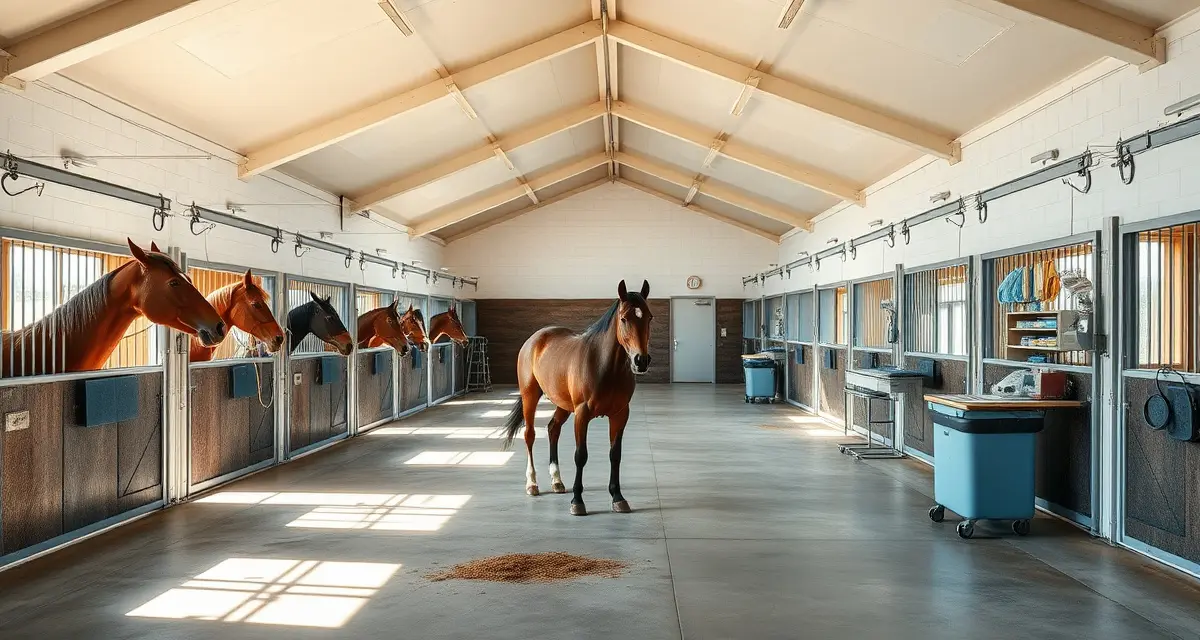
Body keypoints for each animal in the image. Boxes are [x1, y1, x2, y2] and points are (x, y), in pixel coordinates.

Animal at [502, 279, 653, 516]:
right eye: (624, 318)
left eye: (649, 317)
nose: (641, 361)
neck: (603, 366)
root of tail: (535, 339)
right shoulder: (582, 414)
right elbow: (580, 455)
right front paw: (577, 501)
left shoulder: (620, 414)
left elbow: (615, 454)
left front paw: (618, 497)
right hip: (530, 395)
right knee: (530, 435)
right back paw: (532, 483)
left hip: (563, 404)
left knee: (553, 429)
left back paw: (556, 481)